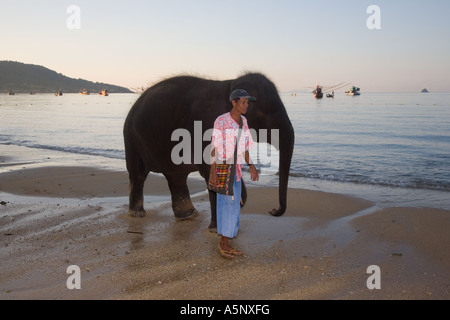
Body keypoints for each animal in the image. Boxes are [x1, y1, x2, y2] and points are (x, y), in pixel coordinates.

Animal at [123, 72, 296, 229]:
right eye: (271, 113)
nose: (273, 210)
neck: (231, 84)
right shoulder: (207, 130)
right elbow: (211, 168)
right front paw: (217, 227)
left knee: (176, 177)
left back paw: (188, 215)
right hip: (132, 139)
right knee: (138, 174)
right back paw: (137, 214)